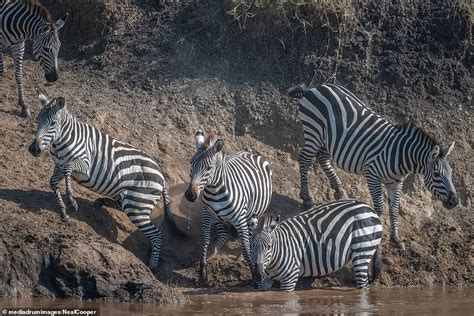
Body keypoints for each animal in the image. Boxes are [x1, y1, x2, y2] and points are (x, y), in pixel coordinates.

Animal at [27, 94, 186, 270]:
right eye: (37, 119)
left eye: (53, 123)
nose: (34, 149)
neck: (64, 141)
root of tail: (162, 177)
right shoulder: (58, 166)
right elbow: (53, 182)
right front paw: (63, 211)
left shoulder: (84, 164)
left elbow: (68, 169)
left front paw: (72, 201)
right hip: (131, 200)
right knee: (121, 205)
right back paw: (100, 202)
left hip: (138, 204)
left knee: (157, 234)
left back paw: (152, 265)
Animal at [185, 131, 274, 284]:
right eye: (191, 164)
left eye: (209, 168)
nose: (190, 195)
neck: (214, 190)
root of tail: (251, 153)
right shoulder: (207, 214)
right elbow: (205, 239)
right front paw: (202, 271)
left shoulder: (239, 219)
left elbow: (245, 245)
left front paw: (254, 273)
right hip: (220, 218)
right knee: (223, 235)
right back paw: (213, 252)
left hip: (252, 215)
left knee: (249, 237)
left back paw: (241, 259)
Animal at [250, 200, 384, 292]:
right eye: (251, 247)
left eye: (269, 247)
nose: (258, 275)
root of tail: (369, 208)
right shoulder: (264, 282)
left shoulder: (289, 278)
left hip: (362, 251)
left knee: (363, 285)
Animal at [288, 83, 460, 249]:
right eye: (437, 174)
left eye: (451, 173)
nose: (455, 202)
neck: (400, 155)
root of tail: (314, 88)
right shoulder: (372, 175)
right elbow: (378, 208)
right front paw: (374, 236)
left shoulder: (396, 183)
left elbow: (394, 209)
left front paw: (396, 239)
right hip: (314, 132)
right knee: (304, 160)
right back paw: (307, 198)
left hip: (327, 139)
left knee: (323, 159)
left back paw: (339, 191)